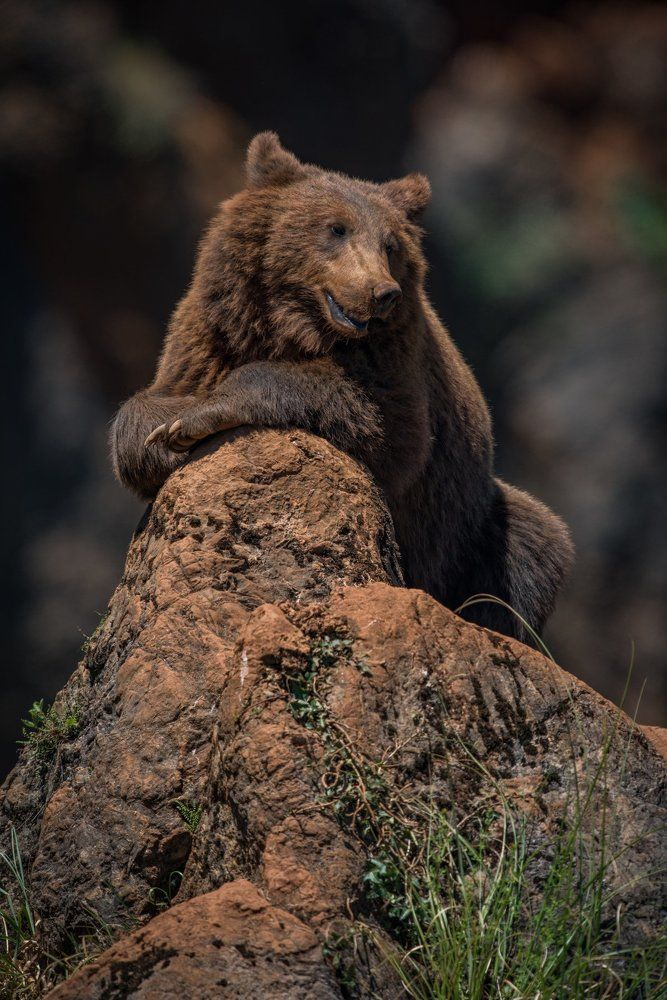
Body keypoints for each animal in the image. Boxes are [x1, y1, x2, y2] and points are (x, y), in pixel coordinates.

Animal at [111, 131, 574, 641]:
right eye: (336, 228)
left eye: (390, 243)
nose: (382, 292)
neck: (296, 326)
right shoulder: (211, 337)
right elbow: (144, 411)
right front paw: (160, 434)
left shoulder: (393, 361)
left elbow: (388, 428)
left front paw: (196, 418)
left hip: (465, 530)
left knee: (531, 543)